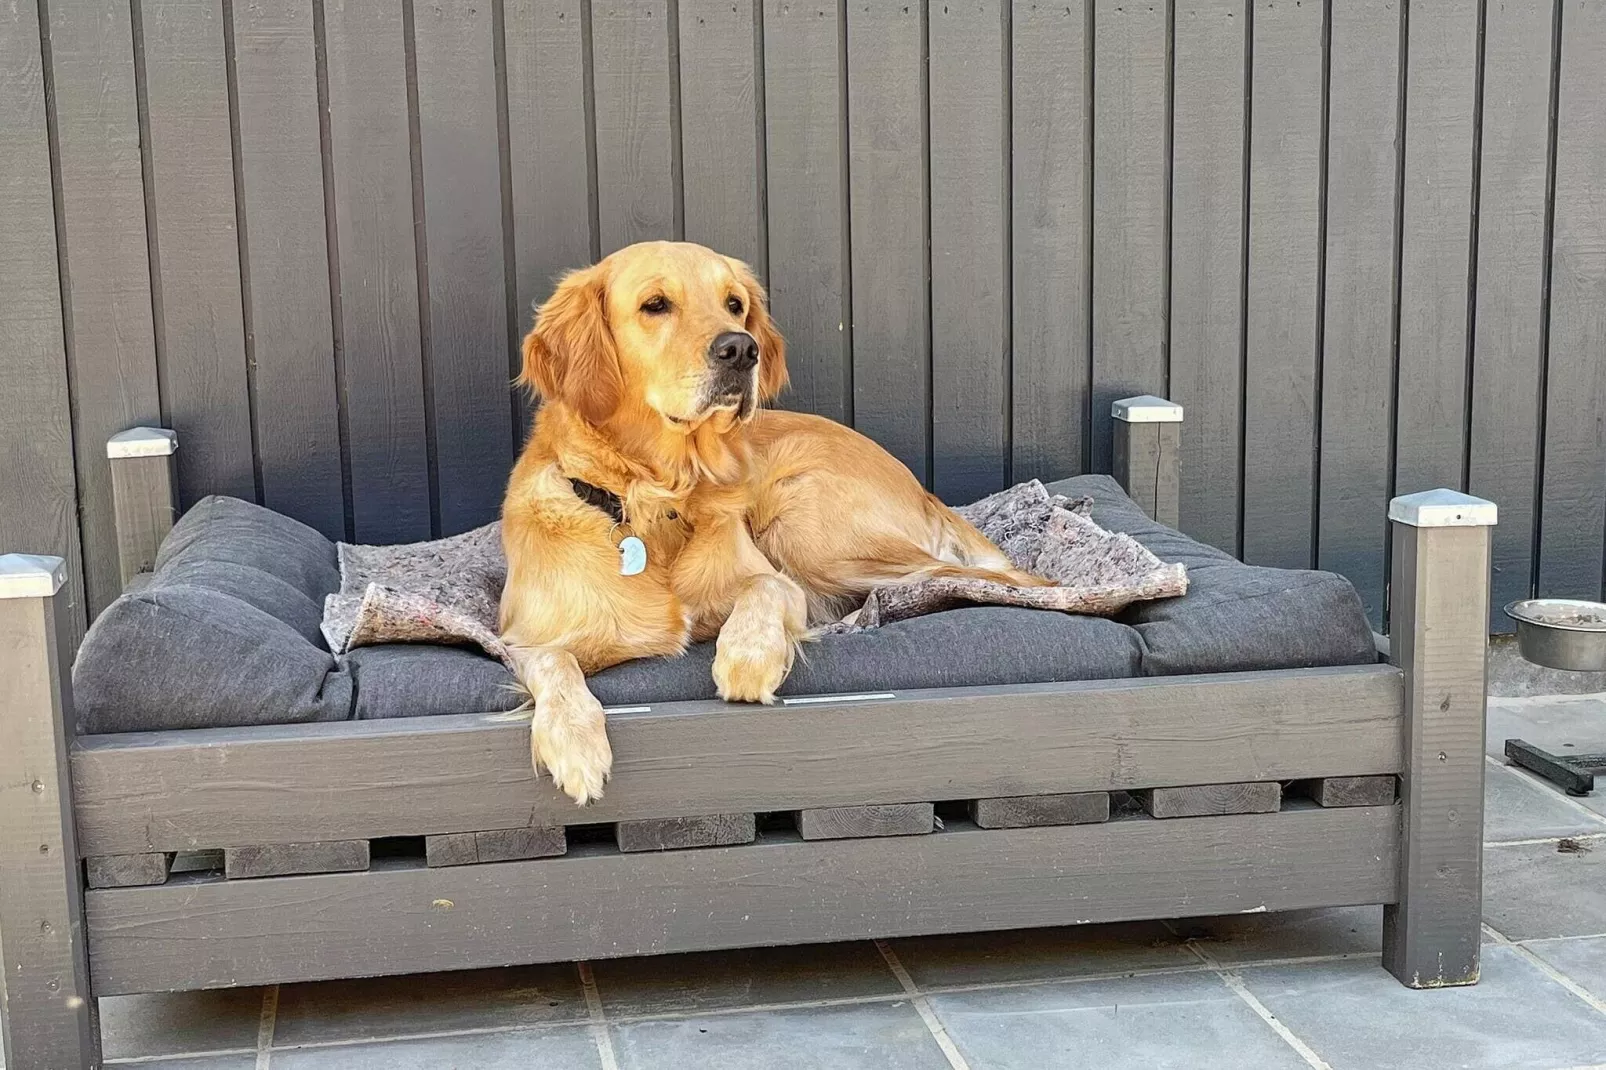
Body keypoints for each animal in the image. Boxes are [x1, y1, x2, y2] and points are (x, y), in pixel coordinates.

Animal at [504, 240, 1053, 800]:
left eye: (734, 304)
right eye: (655, 305)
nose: (741, 349)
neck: (659, 503)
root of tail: (921, 488)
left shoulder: (778, 581)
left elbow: (764, 589)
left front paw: (747, 657)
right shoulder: (521, 638)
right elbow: (554, 661)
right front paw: (574, 742)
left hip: (803, 524)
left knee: (988, 579)